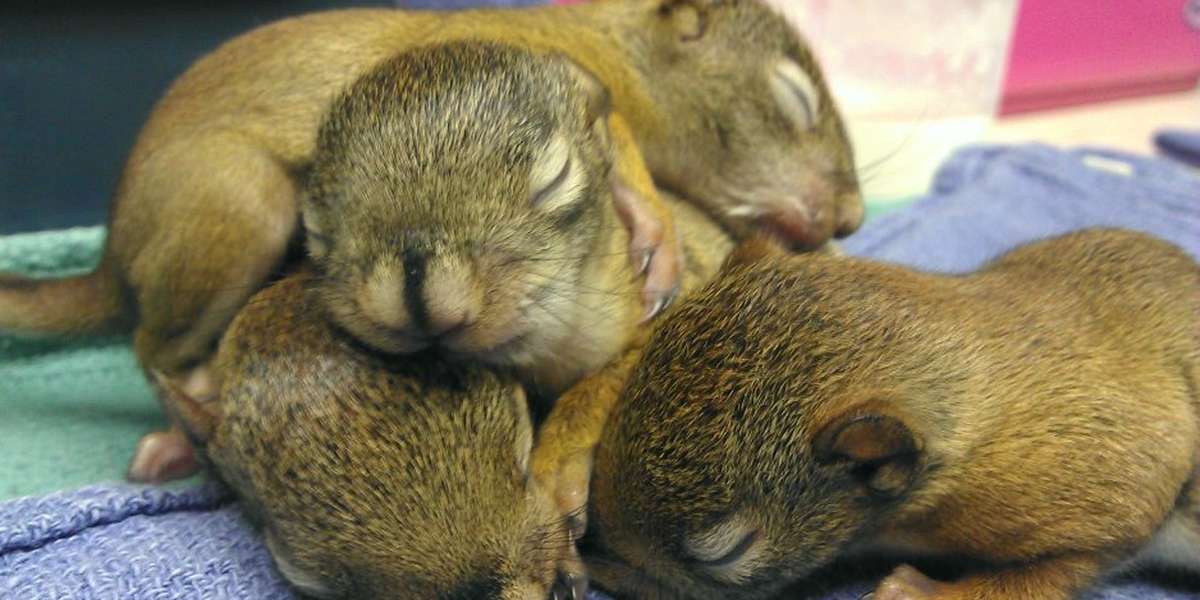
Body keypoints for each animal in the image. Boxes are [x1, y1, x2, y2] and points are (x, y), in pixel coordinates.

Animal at [0, 0, 857, 483]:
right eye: (793, 98)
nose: (849, 218)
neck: (593, 29)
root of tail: (111, 265)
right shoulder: (574, 76)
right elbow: (624, 161)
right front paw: (654, 230)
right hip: (239, 207)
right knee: (153, 348)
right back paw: (184, 423)